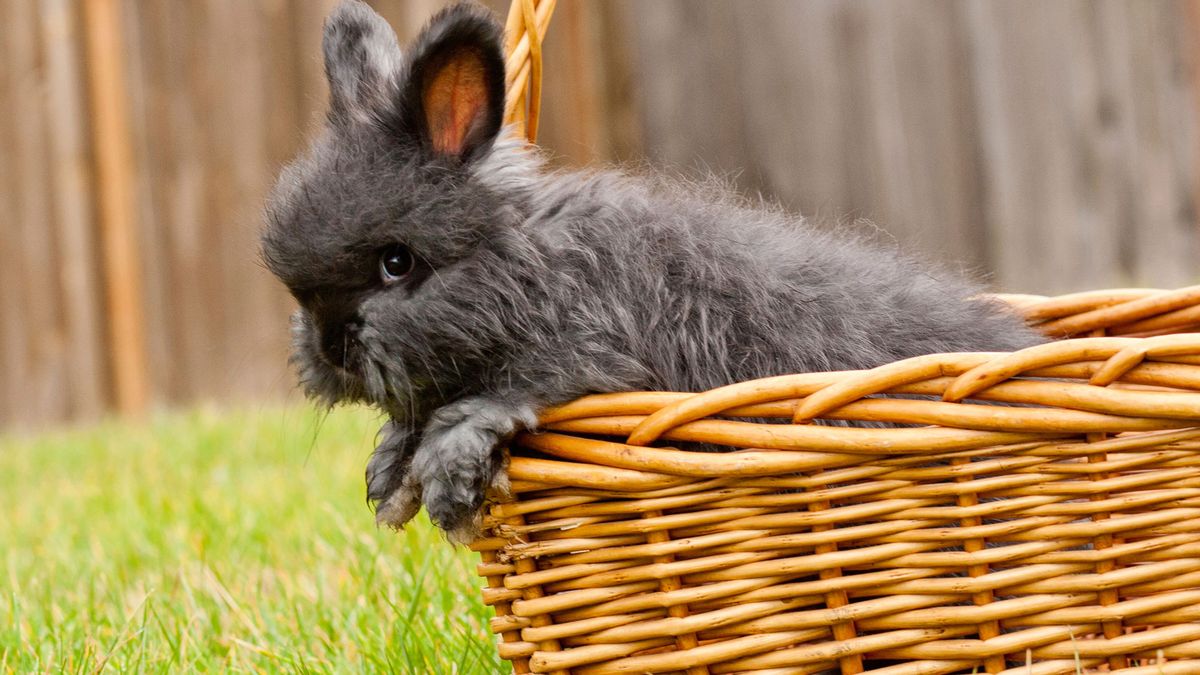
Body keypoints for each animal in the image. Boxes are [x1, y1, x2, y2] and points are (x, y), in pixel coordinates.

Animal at [261, 0, 1044, 543]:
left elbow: (500, 399)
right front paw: (388, 475)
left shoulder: (590, 355)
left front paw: (445, 479)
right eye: (298, 294)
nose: (331, 347)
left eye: (397, 263)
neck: (527, 269)